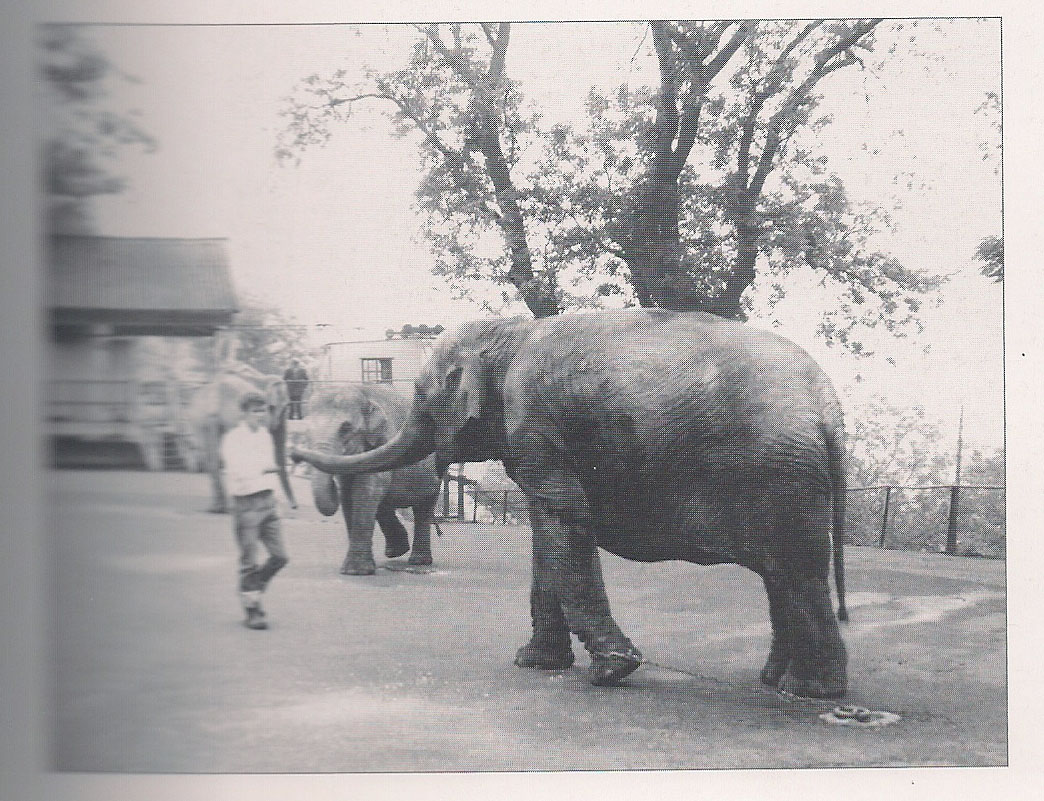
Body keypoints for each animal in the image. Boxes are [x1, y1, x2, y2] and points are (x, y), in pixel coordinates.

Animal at [185, 363, 297, 514]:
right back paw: (223, 508)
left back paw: (221, 507)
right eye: (273, 407)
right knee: (215, 456)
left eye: (287, 407)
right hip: (210, 421)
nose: (294, 507)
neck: (263, 378)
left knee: (213, 457)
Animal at [304, 383, 445, 575]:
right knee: (384, 505)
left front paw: (356, 571)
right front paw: (355, 570)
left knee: (423, 508)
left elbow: (365, 491)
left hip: (435, 473)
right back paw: (396, 551)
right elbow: (348, 495)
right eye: (307, 431)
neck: (363, 392)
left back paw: (418, 561)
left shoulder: (382, 442)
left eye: (345, 428)